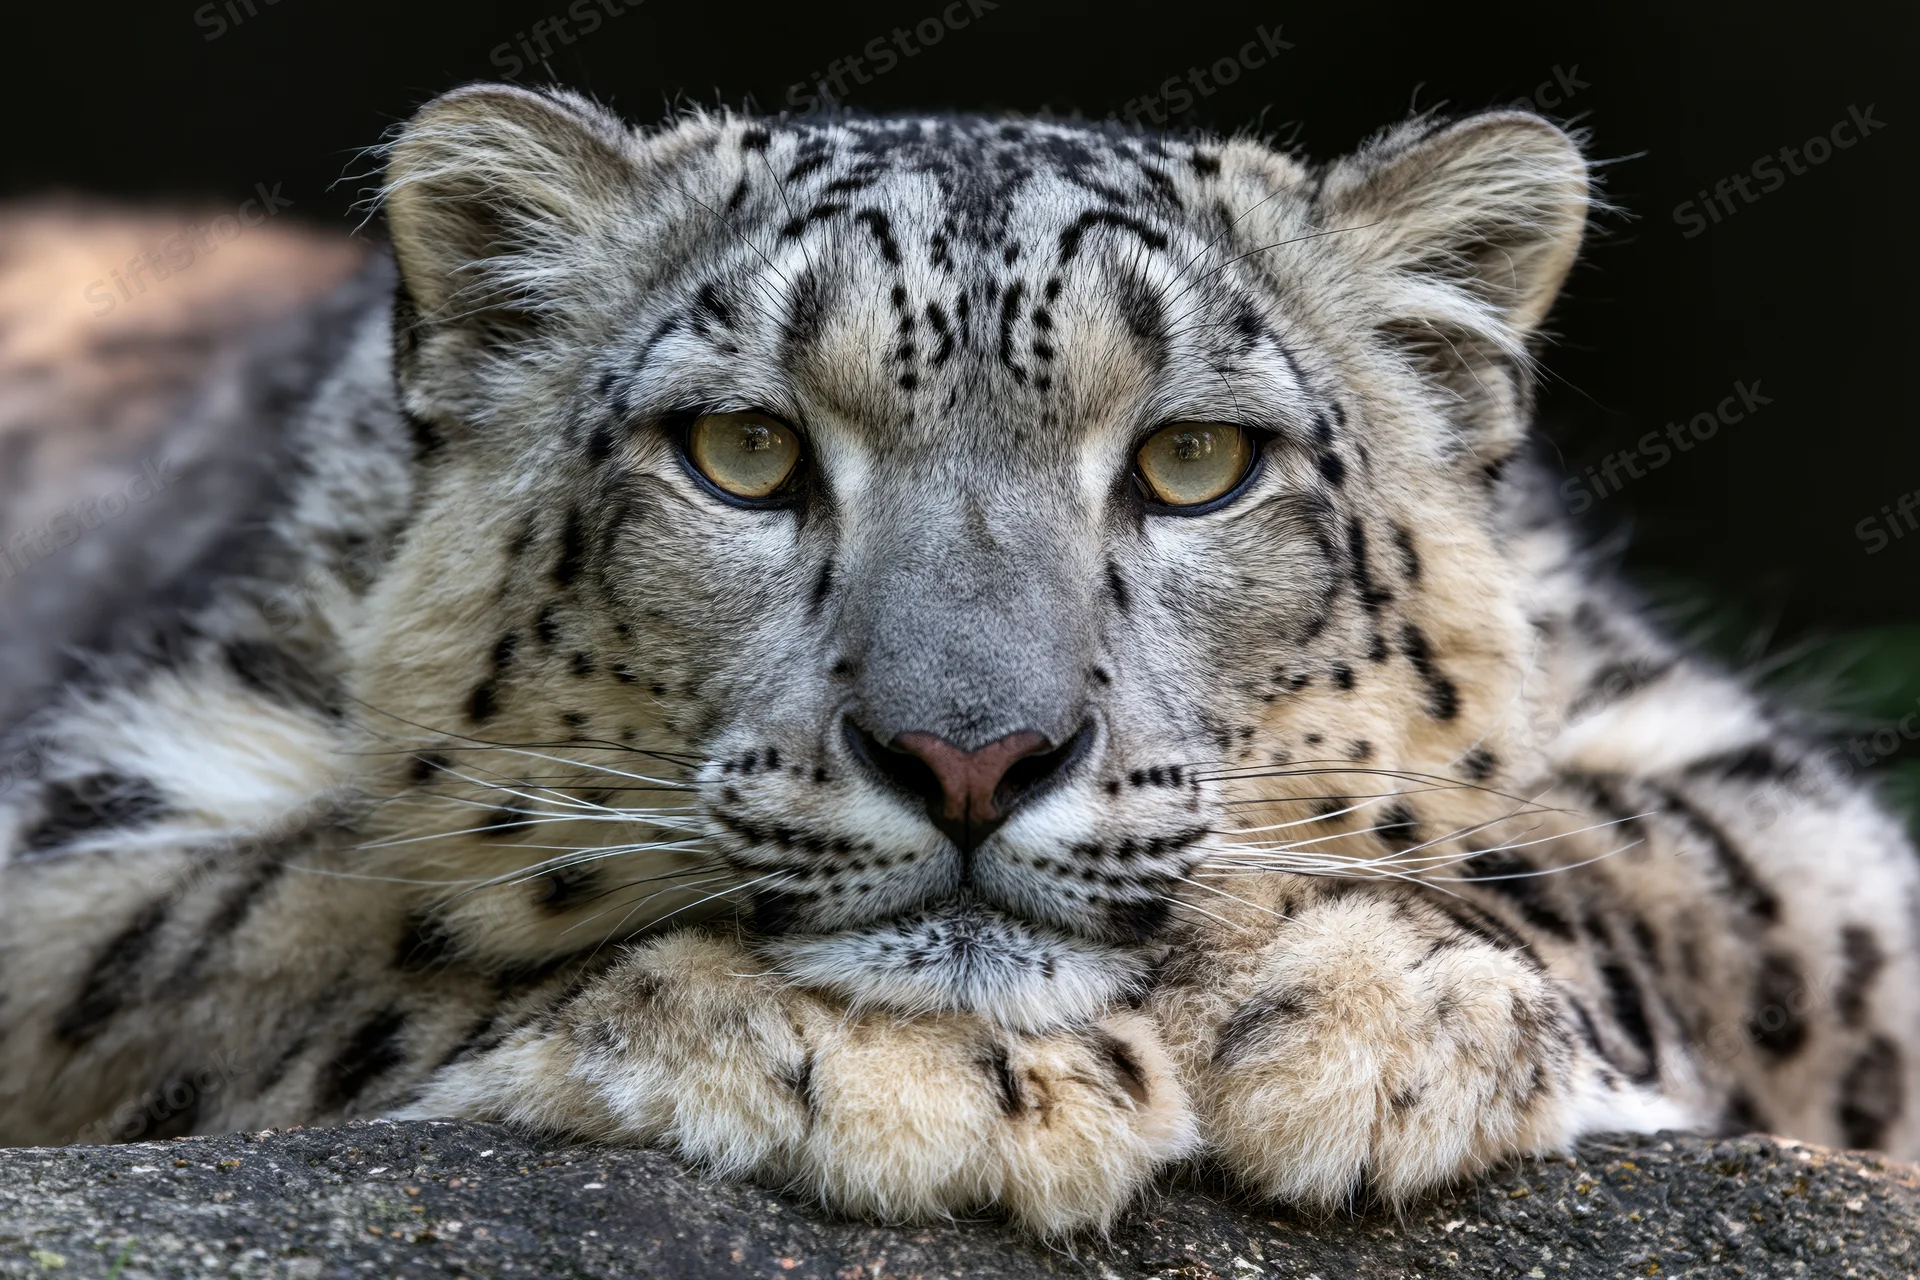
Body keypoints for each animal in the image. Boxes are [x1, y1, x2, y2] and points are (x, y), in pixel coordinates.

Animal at [1, 84, 1915, 1237]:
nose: (972, 756)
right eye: (744, 453)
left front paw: (1371, 1018)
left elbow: (1626, 875)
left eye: (1196, 461)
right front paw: (909, 1071)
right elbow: (367, 914)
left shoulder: (1785, 824)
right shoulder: (99, 816)